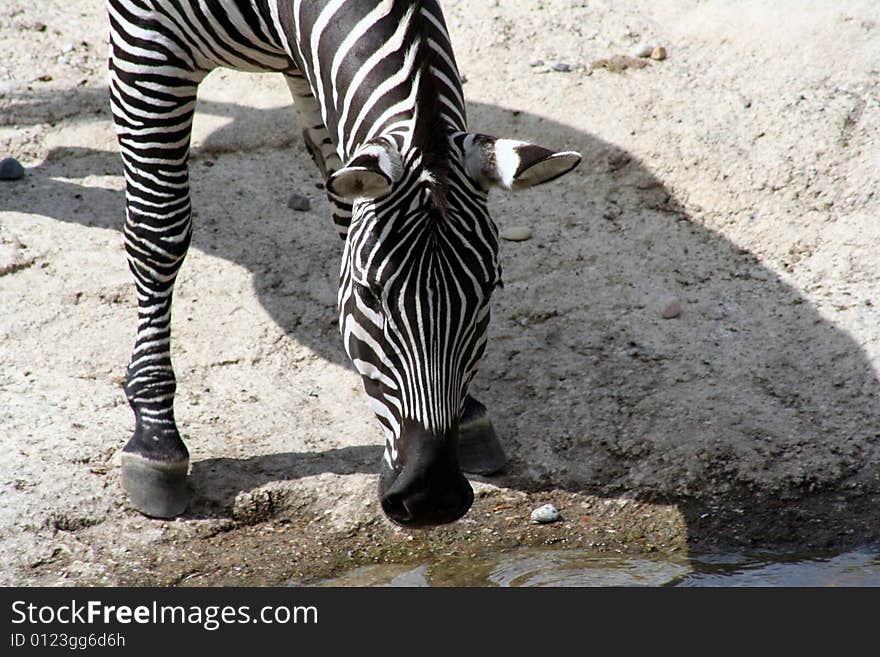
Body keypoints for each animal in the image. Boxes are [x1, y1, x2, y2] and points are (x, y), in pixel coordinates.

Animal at [110, 0, 580, 524]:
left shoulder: (315, 69)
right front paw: (156, 440)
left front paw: (470, 413)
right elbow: (159, 231)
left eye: (490, 290)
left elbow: (343, 210)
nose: (431, 497)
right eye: (369, 294)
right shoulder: (147, 38)